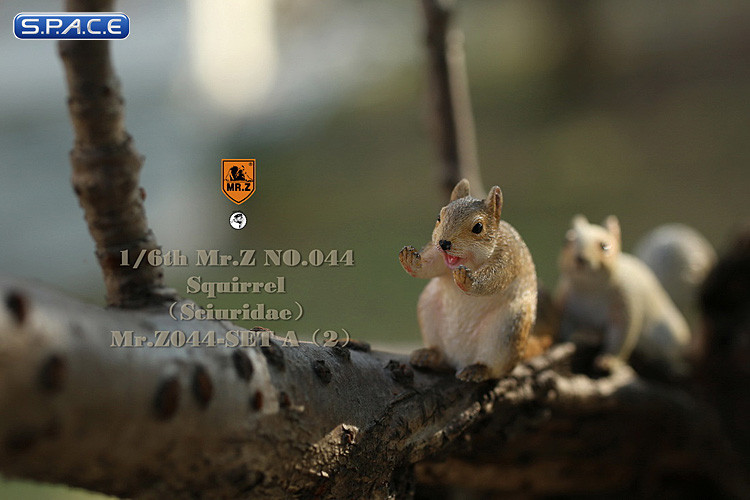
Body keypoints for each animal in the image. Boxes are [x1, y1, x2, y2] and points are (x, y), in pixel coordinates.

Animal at [398, 179, 537, 382]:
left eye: (478, 227)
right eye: (439, 217)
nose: (444, 243)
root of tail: (460, 358)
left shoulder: (507, 258)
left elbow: (493, 279)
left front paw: (467, 279)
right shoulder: (438, 257)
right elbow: (429, 268)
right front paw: (410, 259)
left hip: (506, 330)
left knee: (496, 368)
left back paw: (477, 369)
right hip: (428, 308)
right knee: (441, 356)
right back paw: (429, 355)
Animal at [555, 215, 692, 378]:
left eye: (604, 246)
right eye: (566, 240)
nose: (580, 259)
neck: (590, 288)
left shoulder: (625, 301)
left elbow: (621, 336)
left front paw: (608, 361)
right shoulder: (565, 305)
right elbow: (564, 328)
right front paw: (560, 344)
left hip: (668, 336)